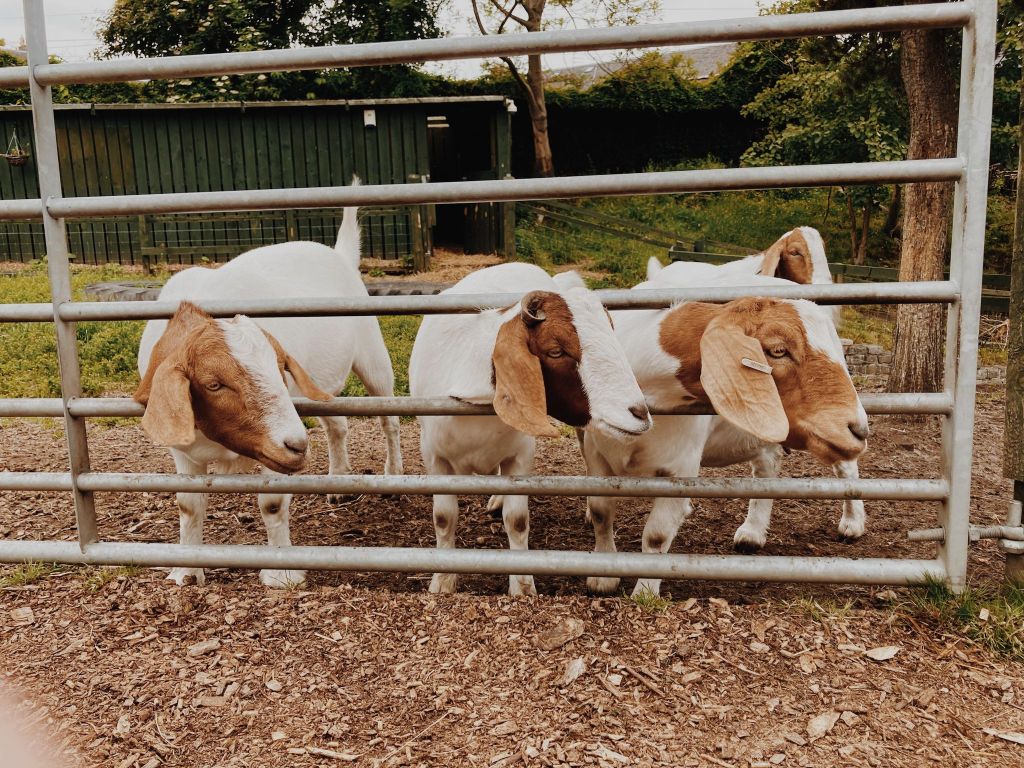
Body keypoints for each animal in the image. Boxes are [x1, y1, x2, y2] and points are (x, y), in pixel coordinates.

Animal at [135, 200, 402, 589]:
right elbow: (188, 504)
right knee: (337, 424)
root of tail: (339, 254)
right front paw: (186, 571)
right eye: (214, 383)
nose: (296, 445)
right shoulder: (181, 447)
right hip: (316, 384)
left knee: (389, 418)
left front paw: (282, 573)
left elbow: (272, 503)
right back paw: (339, 481)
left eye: (279, 367)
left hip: (372, 355)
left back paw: (393, 475)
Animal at [409, 262, 652, 596]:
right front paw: (442, 582)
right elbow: (444, 518)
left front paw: (522, 587)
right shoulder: (434, 457)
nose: (639, 413)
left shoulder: (521, 455)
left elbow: (517, 520)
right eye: (556, 351)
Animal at [580, 272, 868, 596]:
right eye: (778, 350)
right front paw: (603, 578)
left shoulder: (681, 467)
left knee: (847, 468)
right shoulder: (595, 452)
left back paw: (852, 523)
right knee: (767, 468)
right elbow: (601, 512)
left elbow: (657, 535)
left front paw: (644, 594)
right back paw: (752, 533)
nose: (857, 428)